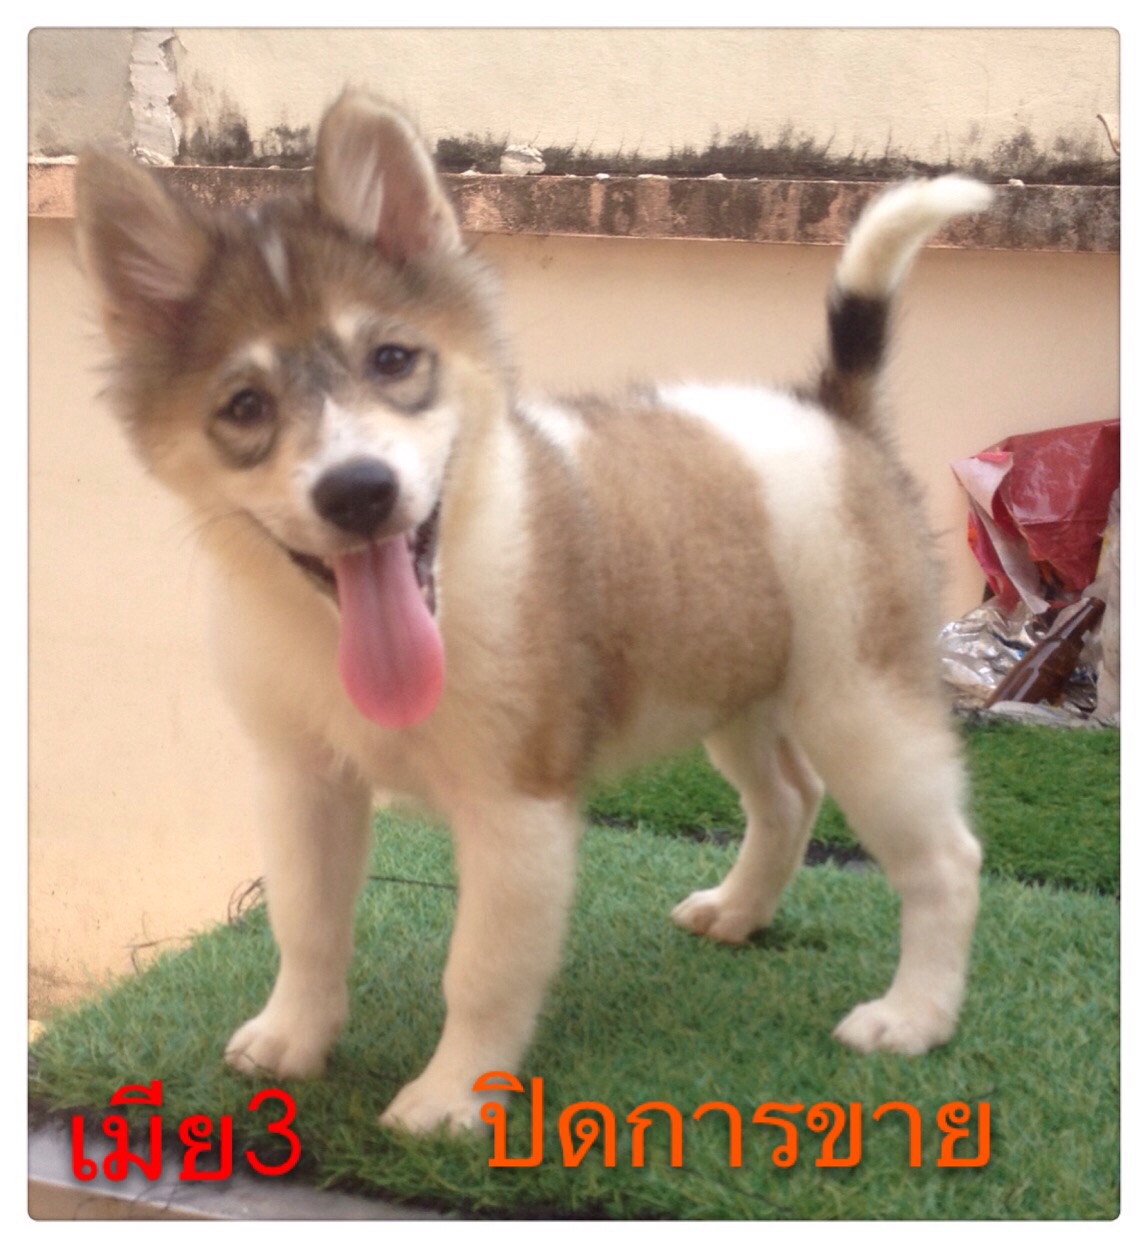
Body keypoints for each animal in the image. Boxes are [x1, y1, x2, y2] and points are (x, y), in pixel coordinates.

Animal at [75, 91, 988, 1134]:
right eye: (244, 407)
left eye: (393, 360)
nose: (359, 492)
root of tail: (832, 417)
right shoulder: (302, 782)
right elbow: (304, 925)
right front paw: (293, 1037)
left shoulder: (517, 808)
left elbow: (481, 971)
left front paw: (451, 1098)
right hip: (734, 687)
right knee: (791, 798)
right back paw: (739, 912)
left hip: (862, 706)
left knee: (946, 858)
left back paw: (915, 1016)